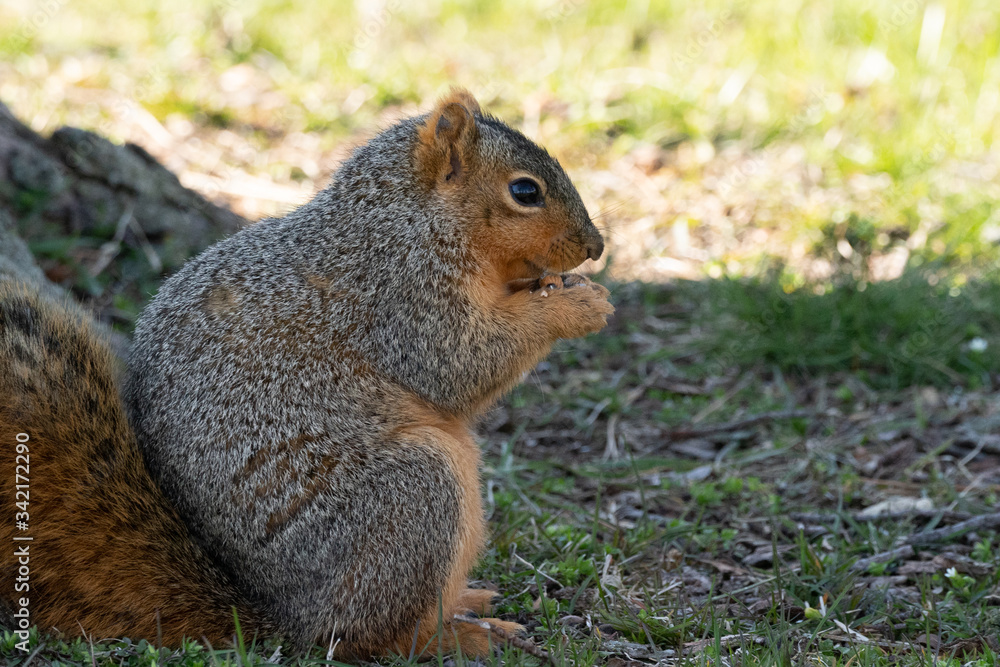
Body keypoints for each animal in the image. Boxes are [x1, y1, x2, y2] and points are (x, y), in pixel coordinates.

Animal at [0, 88, 613, 659]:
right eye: (525, 191)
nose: (596, 246)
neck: (411, 215)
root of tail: (281, 617)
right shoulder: (404, 293)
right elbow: (459, 362)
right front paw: (577, 306)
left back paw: (465, 601)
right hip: (413, 496)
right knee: (366, 637)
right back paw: (459, 637)